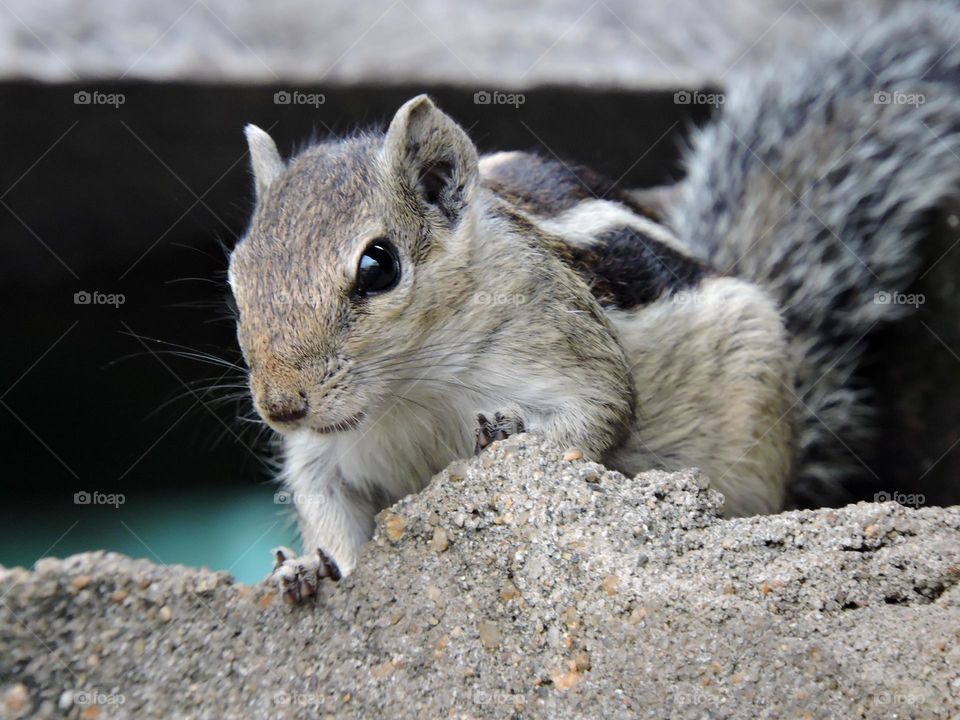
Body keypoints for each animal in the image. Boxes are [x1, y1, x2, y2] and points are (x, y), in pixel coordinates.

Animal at [227, 2, 960, 604]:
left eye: (378, 267)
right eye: (235, 276)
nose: (281, 406)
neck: (403, 391)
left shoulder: (560, 341)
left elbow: (599, 414)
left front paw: (511, 433)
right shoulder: (323, 459)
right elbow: (329, 511)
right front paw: (306, 568)